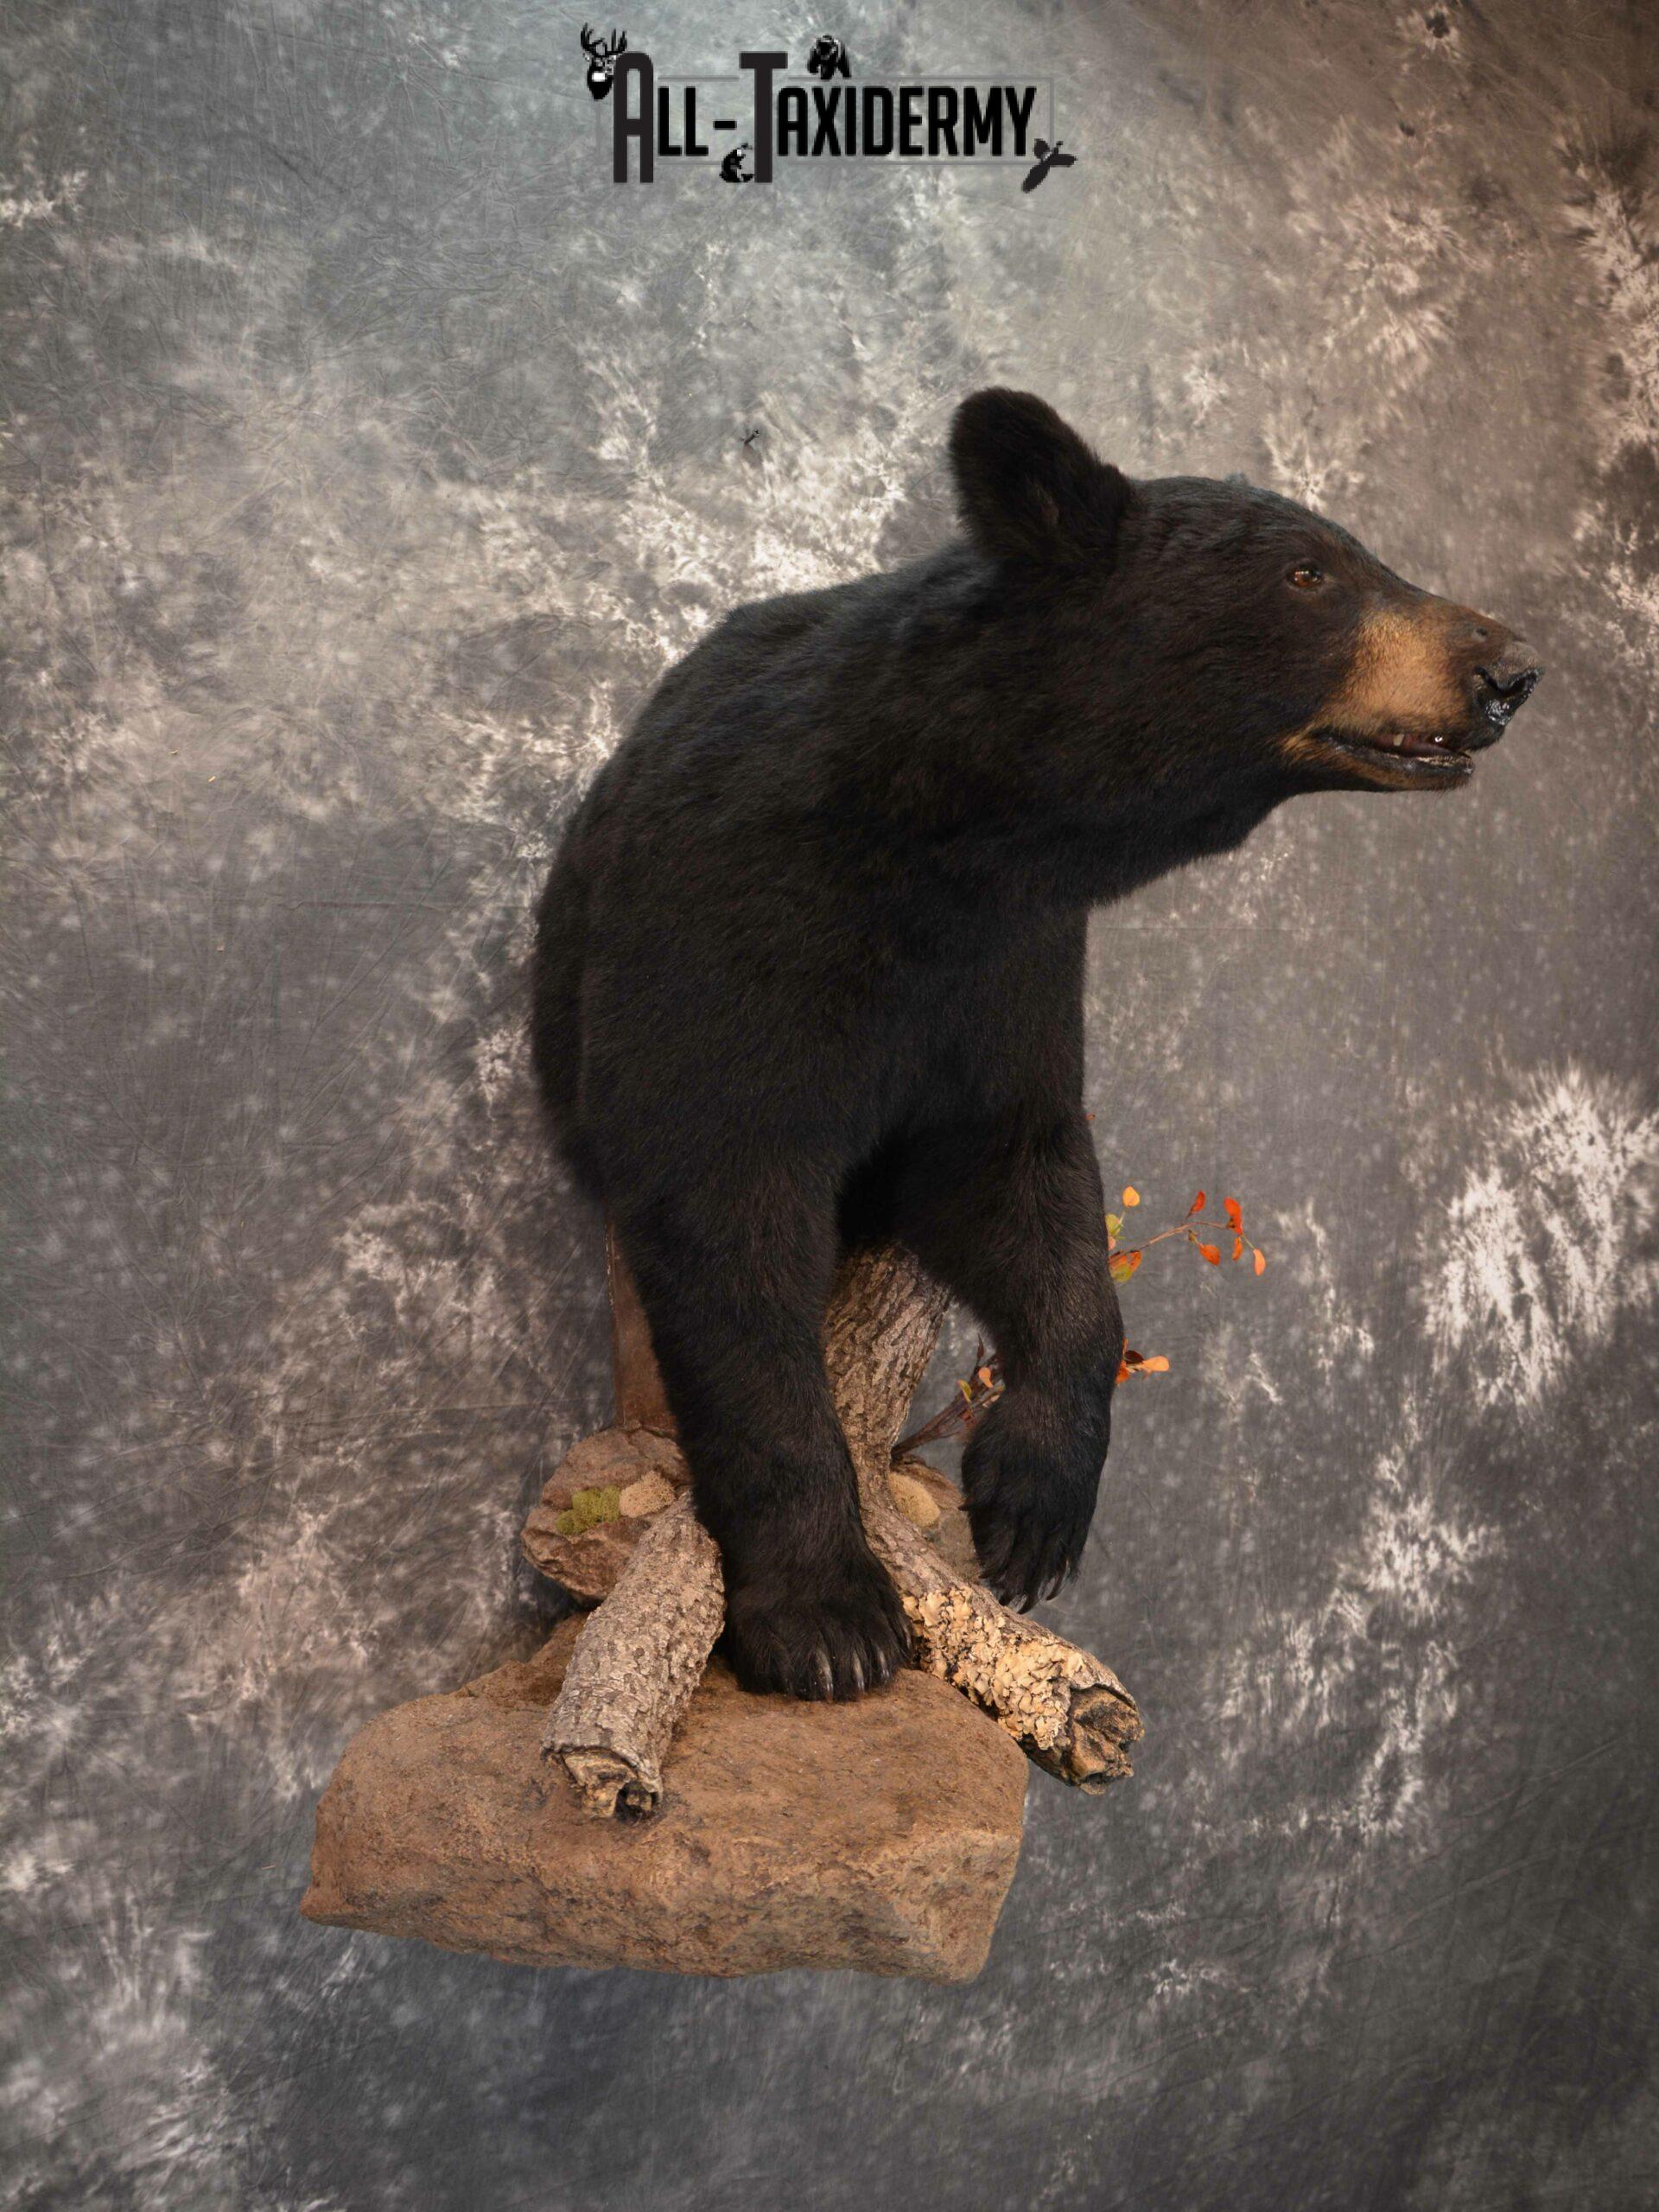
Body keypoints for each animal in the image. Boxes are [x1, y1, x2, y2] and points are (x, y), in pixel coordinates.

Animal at [531, 388, 1541, 1701]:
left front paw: (1034, 1506)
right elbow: (725, 1221)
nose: (1509, 669)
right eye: (1311, 573)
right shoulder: (725, 923)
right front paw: (827, 1618)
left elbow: (1020, 1174)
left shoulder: (1007, 969)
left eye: (1352, 553)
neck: (947, 840)